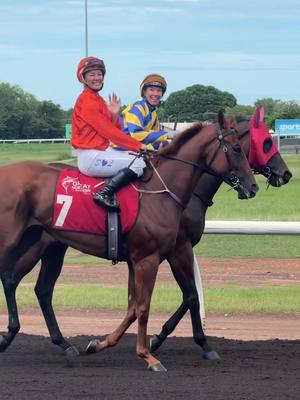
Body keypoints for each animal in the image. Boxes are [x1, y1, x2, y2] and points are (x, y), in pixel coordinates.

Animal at [0, 115, 258, 372]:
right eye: (237, 149)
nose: (253, 186)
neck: (161, 191)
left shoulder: (143, 258)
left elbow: (137, 306)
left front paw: (99, 344)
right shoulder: (149, 258)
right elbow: (144, 306)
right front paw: (148, 355)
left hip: (38, 242)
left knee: (22, 282)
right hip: (16, 241)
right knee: (19, 281)